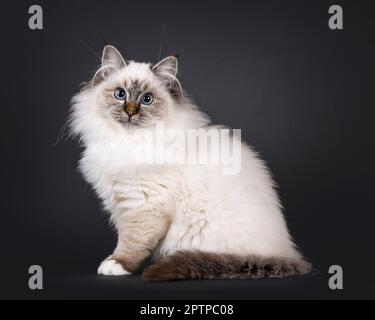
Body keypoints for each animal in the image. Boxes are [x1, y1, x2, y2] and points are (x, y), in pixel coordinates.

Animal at [69, 44, 312, 280]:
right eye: (120, 94)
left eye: (147, 99)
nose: (130, 111)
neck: (128, 141)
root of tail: (287, 253)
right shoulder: (121, 203)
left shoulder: (144, 205)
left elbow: (133, 242)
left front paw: (117, 264)